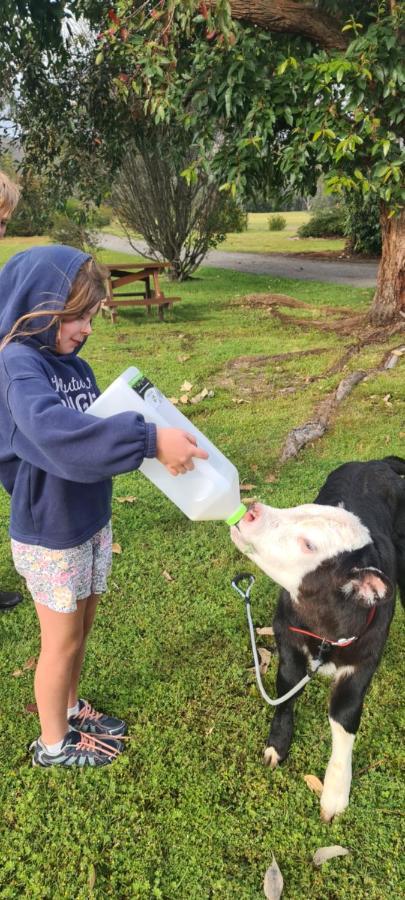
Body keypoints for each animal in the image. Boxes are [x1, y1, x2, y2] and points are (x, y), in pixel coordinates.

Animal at [230, 458, 404, 824]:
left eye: (309, 545)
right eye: (299, 508)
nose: (250, 511)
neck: (324, 631)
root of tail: (377, 463)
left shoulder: (362, 665)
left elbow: (344, 717)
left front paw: (335, 794)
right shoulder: (287, 642)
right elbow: (285, 692)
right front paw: (277, 745)